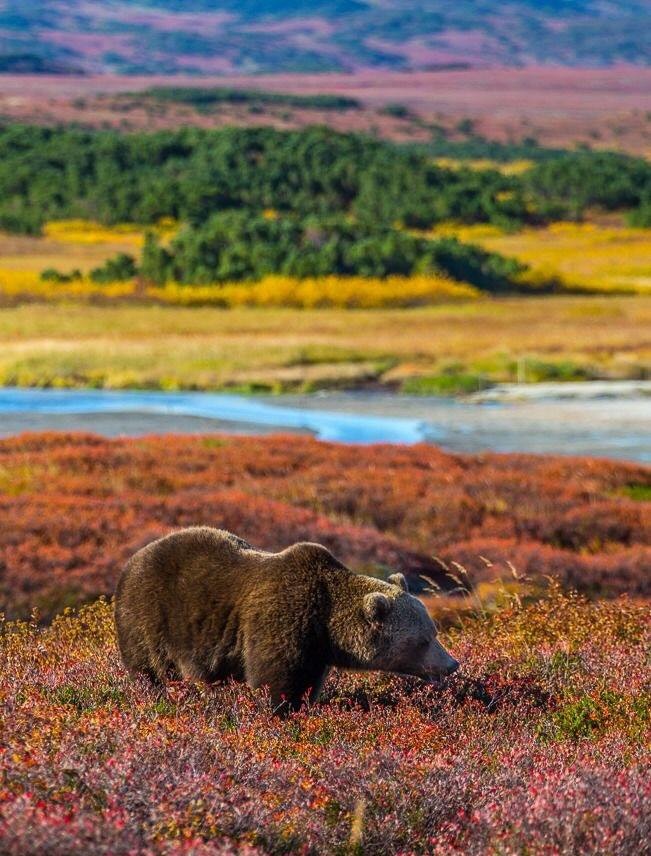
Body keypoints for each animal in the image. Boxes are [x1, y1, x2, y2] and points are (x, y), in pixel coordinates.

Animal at [113, 524, 458, 712]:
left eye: (434, 631)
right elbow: (276, 681)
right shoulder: (282, 624)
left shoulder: (315, 651)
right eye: (424, 639)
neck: (326, 623)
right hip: (148, 616)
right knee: (149, 669)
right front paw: (281, 713)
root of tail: (132, 560)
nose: (452, 664)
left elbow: (307, 684)